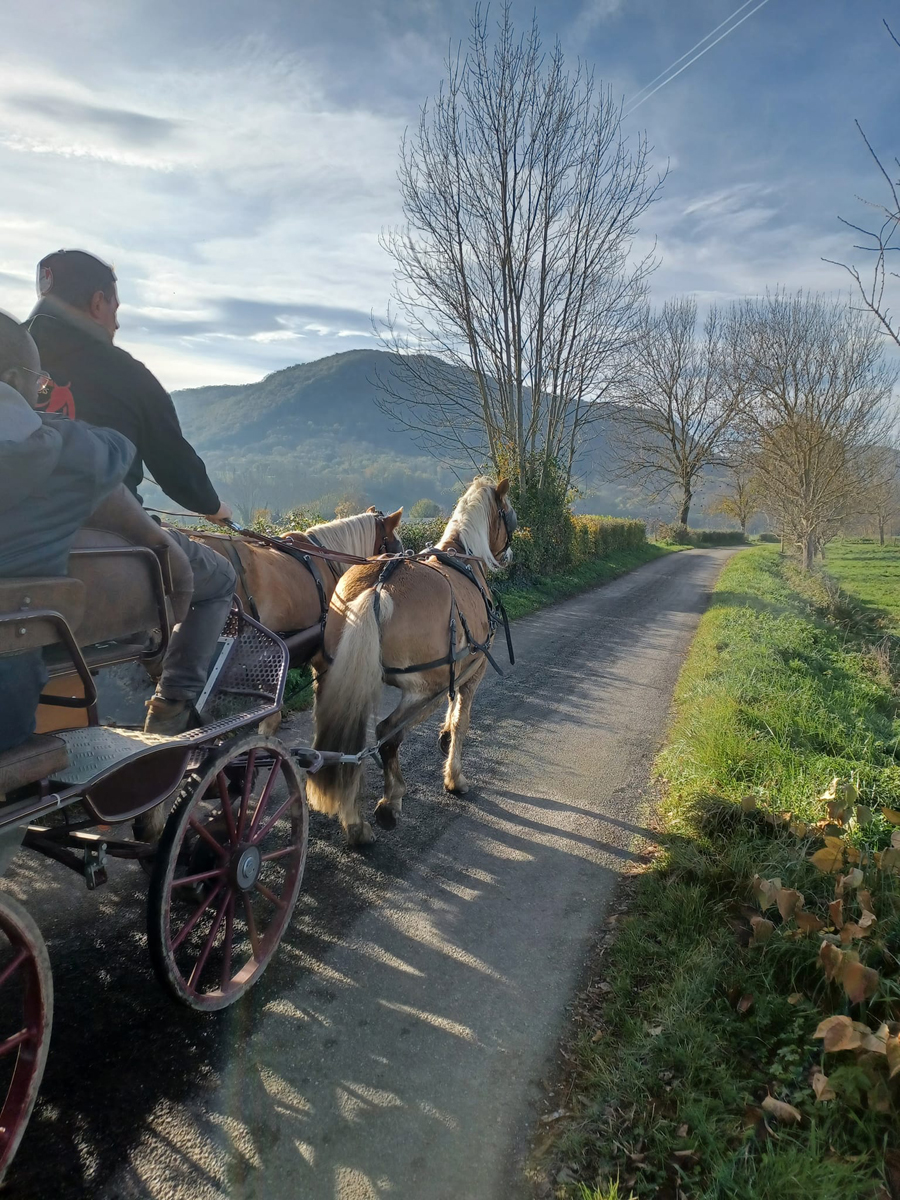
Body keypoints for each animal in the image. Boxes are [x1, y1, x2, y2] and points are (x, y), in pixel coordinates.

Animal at [309, 475, 518, 844]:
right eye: (509, 514)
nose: (509, 554)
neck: (462, 557)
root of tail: (378, 587)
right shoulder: (473, 668)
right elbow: (462, 720)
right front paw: (455, 777)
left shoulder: (456, 667)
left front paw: (444, 737)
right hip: (422, 690)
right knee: (387, 733)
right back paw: (390, 803)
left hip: (335, 680)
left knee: (342, 745)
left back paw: (355, 824)